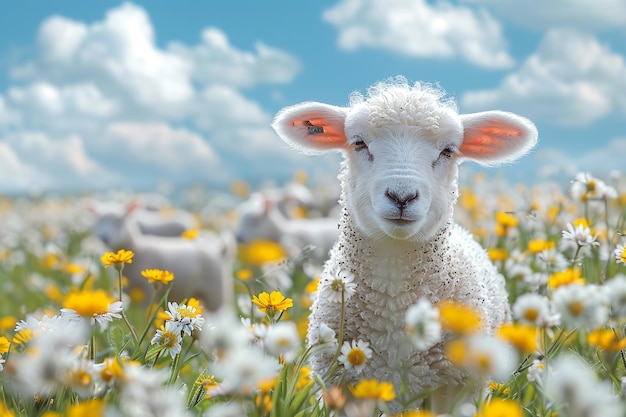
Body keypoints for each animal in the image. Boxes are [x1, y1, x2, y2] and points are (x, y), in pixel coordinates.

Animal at [90, 202, 232, 312]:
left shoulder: (147, 291)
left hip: (216, 294)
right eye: (98, 223)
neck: (138, 249)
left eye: (119, 222)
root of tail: (219, 251)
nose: (104, 238)